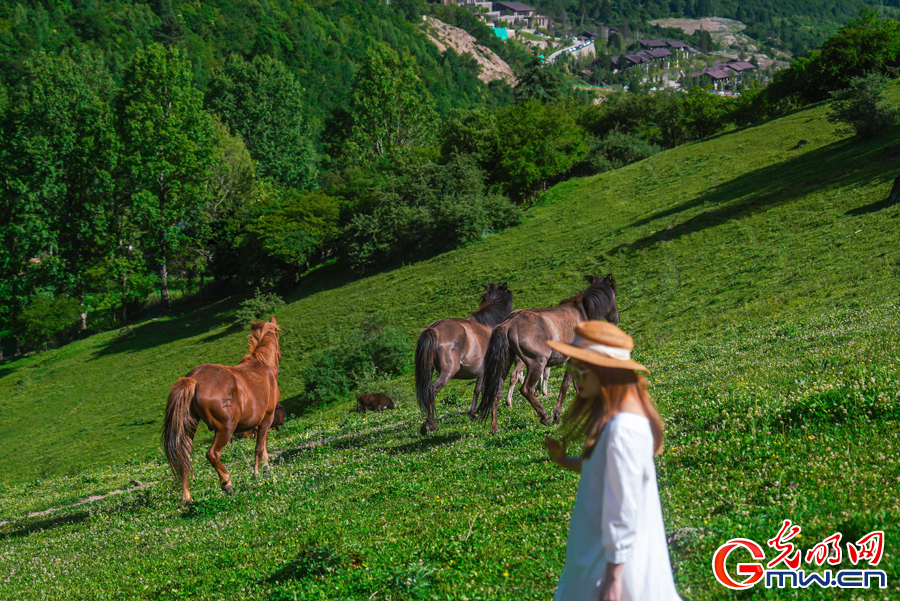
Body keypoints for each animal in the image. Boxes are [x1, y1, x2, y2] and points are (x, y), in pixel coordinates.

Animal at [163, 316, 282, 504]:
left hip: (189, 428)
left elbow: (262, 447)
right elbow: (259, 448)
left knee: (185, 457)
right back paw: (226, 482)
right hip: (225, 428)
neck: (262, 366)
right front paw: (259, 473)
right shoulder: (266, 419)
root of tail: (193, 379)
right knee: (212, 454)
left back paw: (187, 497)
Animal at [416, 284, 512, 434]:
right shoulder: (484, 372)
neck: (487, 325)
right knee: (432, 391)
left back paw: (426, 423)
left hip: (429, 370)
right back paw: (432, 424)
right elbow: (479, 389)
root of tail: (434, 329)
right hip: (447, 372)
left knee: (427, 392)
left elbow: (477, 389)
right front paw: (474, 412)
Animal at [478, 274, 620, 434]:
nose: (616, 318)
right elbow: (566, 385)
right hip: (537, 363)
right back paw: (544, 415)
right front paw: (557, 414)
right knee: (526, 389)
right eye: (615, 294)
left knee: (496, 392)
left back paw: (494, 428)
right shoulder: (573, 358)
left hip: (505, 364)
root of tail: (508, 324)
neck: (582, 311)